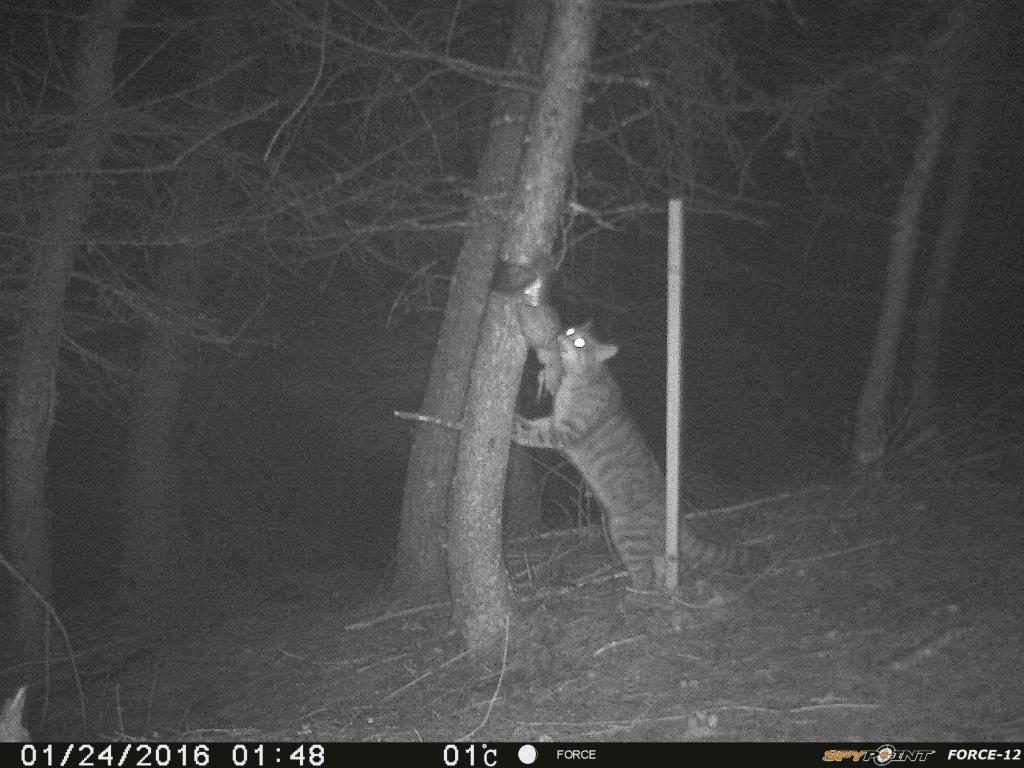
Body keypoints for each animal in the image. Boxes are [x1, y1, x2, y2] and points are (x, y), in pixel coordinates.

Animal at [516, 323, 765, 589]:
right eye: (571, 330)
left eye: (579, 342)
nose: (561, 336)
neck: (579, 379)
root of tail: (677, 518)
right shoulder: (553, 421)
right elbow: (534, 425)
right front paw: (519, 418)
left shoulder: (565, 432)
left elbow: (537, 435)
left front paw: (513, 428)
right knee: (659, 568)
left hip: (625, 536)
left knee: (643, 575)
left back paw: (634, 592)